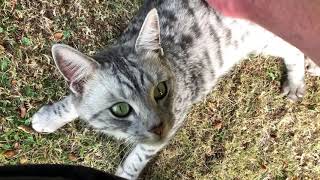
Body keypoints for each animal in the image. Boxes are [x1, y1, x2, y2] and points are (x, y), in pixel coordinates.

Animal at [30, 0, 320, 179]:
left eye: (161, 91)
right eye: (121, 109)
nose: (158, 127)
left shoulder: (173, 120)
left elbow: (138, 156)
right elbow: (72, 102)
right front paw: (49, 117)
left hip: (263, 38)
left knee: (293, 47)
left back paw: (299, 79)